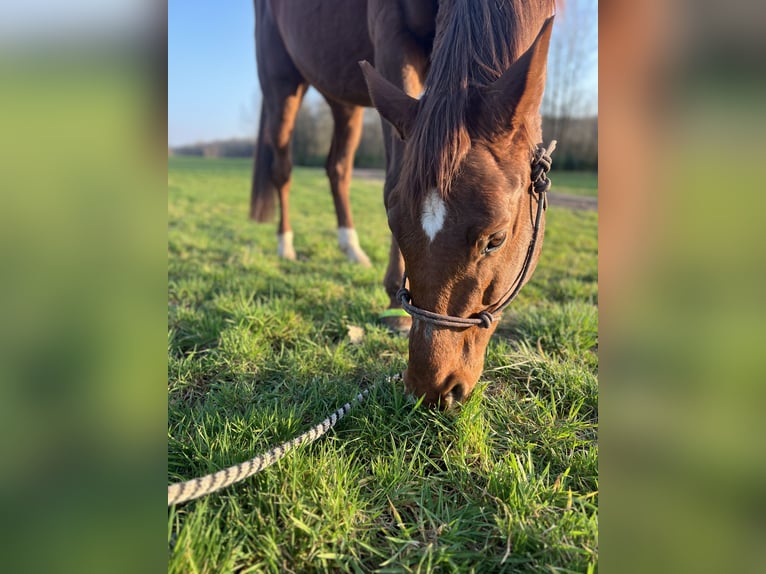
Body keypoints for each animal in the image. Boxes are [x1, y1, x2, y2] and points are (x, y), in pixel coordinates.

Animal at [250, 0, 556, 407]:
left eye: (496, 239)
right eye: (393, 224)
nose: (432, 387)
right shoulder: (391, 39)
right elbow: (395, 174)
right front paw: (395, 305)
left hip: (342, 95)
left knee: (337, 168)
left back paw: (350, 247)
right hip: (282, 83)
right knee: (282, 168)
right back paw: (285, 244)